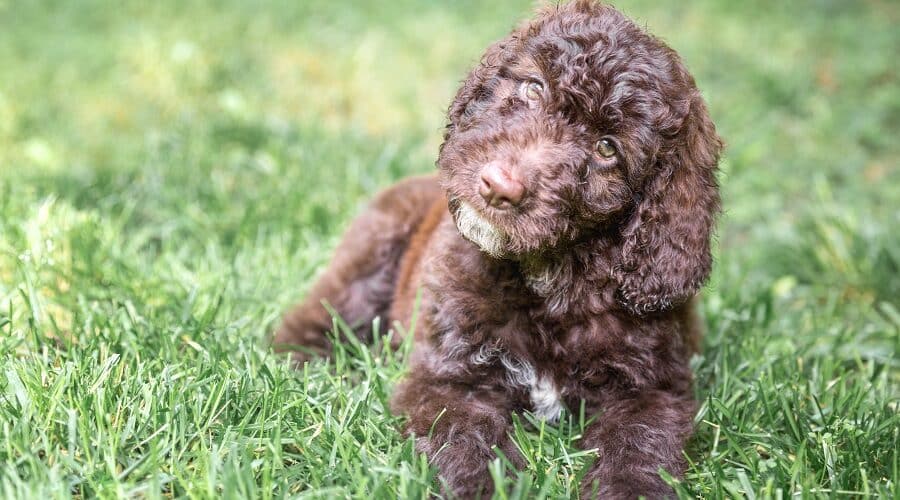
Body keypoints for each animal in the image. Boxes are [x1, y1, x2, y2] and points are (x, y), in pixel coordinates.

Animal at [278, 1, 720, 498]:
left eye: (607, 148)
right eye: (533, 88)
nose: (499, 187)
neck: (551, 281)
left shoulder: (652, 388)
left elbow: (639, 444)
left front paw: (629, 487)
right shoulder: (450, 379)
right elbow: (466, 439)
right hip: (371, 254)